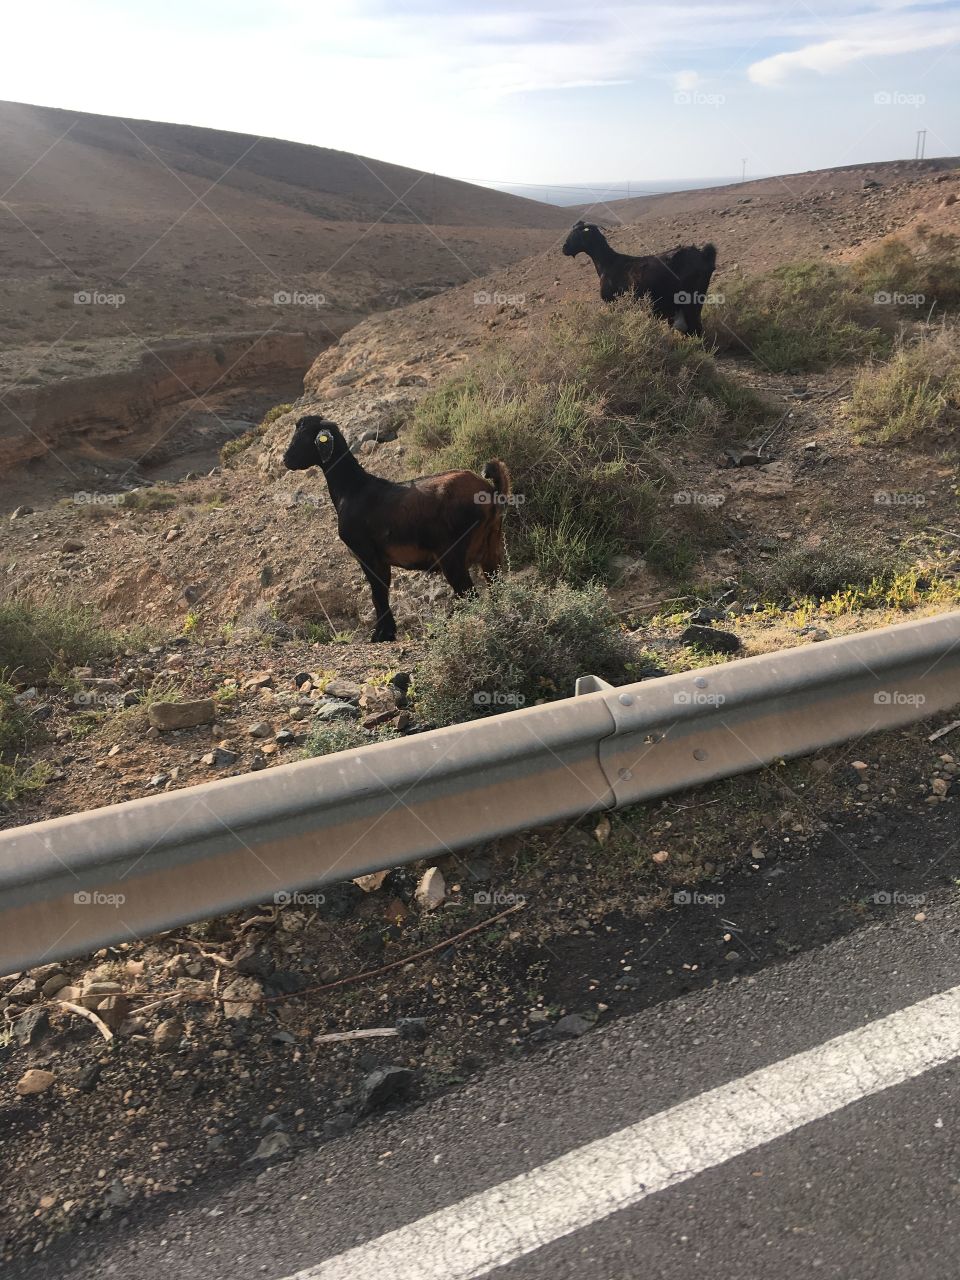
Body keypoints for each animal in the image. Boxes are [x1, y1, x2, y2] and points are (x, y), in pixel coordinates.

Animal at [284, 414, 512, 640]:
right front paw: (387, 632)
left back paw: (442, 631)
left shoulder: (366, 554)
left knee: (468, 593)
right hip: (491, 547)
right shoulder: (381, 559)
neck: (353, 489)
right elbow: (381, 590)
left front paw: (381, 635)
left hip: (452, 554)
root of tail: (491, 492)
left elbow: (378, 592)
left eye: (304, 435)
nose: (286, 460)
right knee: (494, 587)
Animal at [560, 222, 716, 337]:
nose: (564, 248)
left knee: (696, 329)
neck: (608, 263)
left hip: (690, 302)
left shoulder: (613, 304)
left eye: (577, 234)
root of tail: (704, 255)